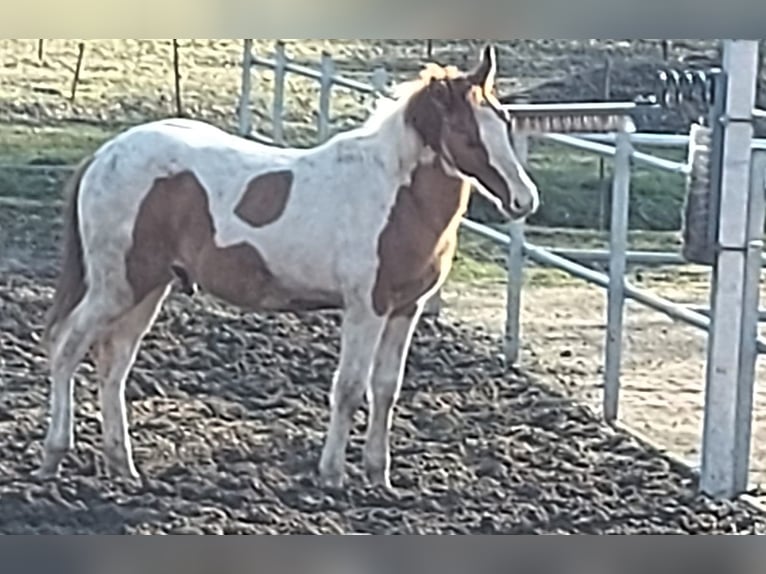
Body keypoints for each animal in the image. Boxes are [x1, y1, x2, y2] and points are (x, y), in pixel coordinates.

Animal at [36, 43, 539, 489]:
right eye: (468, 134)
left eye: (504, 121)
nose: (524, 200)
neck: (392, 192)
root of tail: (103, 156)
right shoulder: (366, 308)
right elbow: (349, 388)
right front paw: (332, 476)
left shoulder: (404, 310)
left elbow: (385, 389)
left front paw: (379, 476)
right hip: (114, 287)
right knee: (67, 348)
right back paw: (55, 455)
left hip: (147, 288)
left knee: (113, 365)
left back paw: (123, 467)